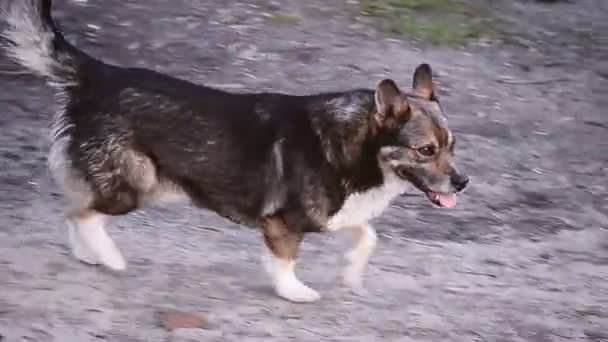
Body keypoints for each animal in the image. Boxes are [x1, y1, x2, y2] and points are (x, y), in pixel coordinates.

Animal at [0, 0, 470, 304]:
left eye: (452, 145)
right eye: (425, 150)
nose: (463, 182)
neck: (355, 146)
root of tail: (99, 75)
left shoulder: (331, 216)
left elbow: (367, 236)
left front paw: (350, 273)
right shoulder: (283, 224)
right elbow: (285, 262)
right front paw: (294, 291)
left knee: (76, 209)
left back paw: (89, 254)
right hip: (138, 183)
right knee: (83, 213)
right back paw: (110, 258)